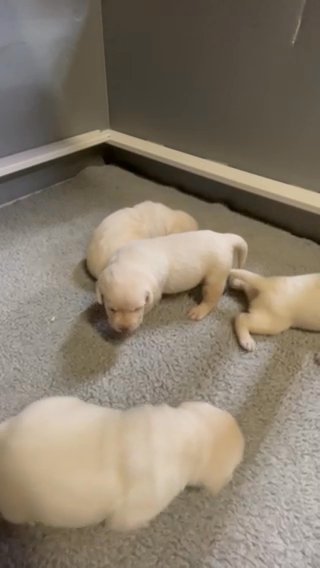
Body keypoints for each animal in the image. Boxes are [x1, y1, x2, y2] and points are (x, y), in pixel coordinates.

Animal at [95, 229, 248, 332]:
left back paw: (199, 310)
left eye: (137, 309)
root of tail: (224, 238)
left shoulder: (154, 292)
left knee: (211, 298)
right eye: (112, 309)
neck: (131, 262)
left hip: (215, 276)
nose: (124, 328)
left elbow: (152, 303)